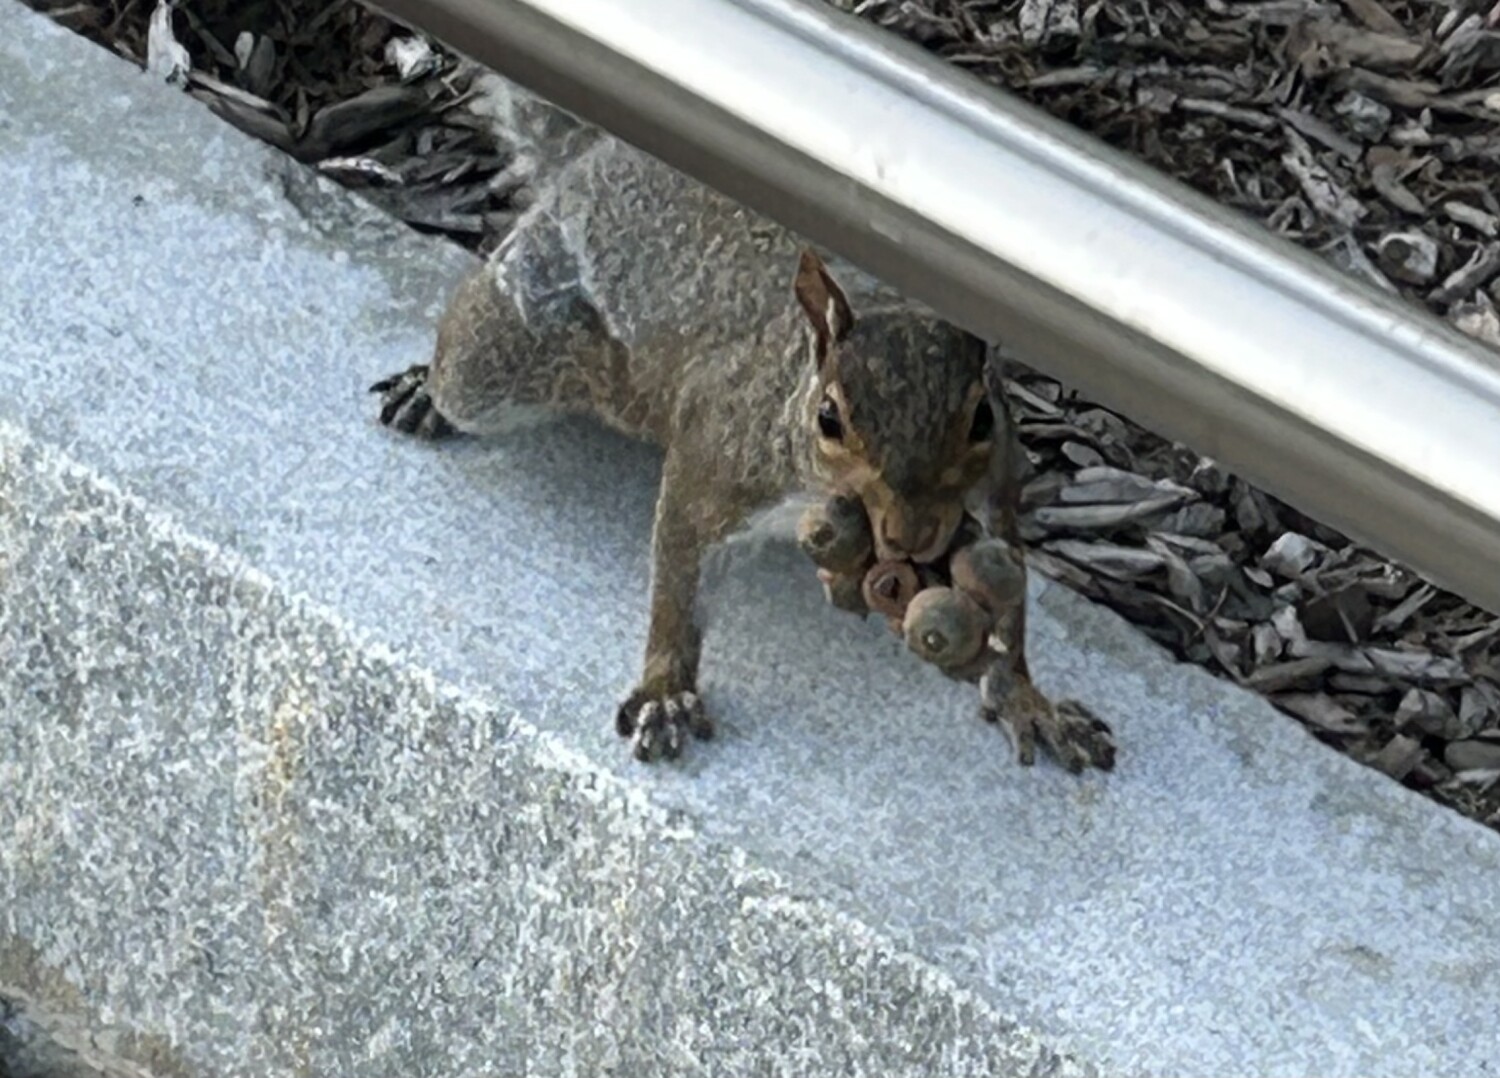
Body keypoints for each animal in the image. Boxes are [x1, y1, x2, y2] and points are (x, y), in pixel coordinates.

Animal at [370, 77, 1114, 772]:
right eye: (828, 418)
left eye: (982, 417)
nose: (912, 535)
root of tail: (596, 153)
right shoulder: (721, 454)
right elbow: (678, 566)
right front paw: (665, 690)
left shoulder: (995, 493)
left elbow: (1008, 597)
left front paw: (1028, 701)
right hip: (505, 338)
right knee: (470, 362)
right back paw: (425, 391)